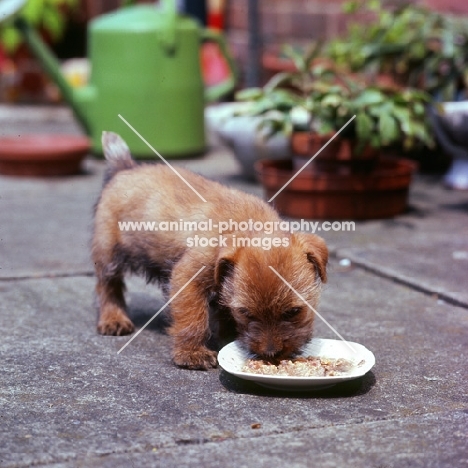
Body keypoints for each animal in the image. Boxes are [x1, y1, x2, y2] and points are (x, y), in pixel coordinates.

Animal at [92, 131, 330, 370]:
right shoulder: (188, 278)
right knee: (108, 286)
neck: (248, 224)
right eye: (245, 313)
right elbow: (193, 318)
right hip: (108, 253)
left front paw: (226, 336)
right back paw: (113, 318)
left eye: (293, 312)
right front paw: (191, 353)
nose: (271, 354)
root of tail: (125, 168)